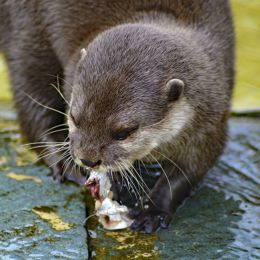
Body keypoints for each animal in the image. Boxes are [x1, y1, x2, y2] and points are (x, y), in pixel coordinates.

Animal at [0, 0, 235, 232]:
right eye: (74, 118)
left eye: (123, 133)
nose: (88, 159)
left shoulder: (211, 118)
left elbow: (191, 169)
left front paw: (153, 210)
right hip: (27, 30)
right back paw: (65, 164)